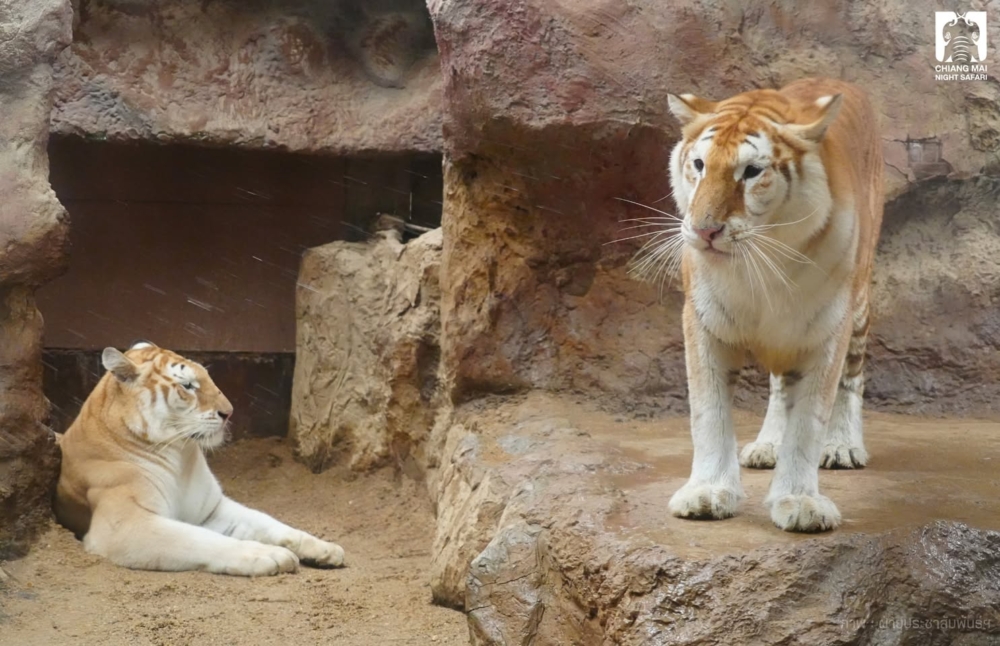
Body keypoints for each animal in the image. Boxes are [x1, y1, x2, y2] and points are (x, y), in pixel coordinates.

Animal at [54, 341, 345, 575]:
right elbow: (203, 540)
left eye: (207, 378)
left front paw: (325, 548)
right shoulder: (127, 524)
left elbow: (270, 523)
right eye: (187, 386)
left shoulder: (211, 509)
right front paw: (270, 555)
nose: (229, 412)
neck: (180, 456)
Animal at [656, 77, 883, 532]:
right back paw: (767, 446)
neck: (760, 266)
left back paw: (842, 446)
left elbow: (809, 422)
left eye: (751, 172)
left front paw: (801, 502)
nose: (704, 230)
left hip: (857, 306)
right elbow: (709, 414)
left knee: (852, 378)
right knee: (780, 387)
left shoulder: (829, 329)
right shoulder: (703, 323)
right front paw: (707, 493)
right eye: (699, 165)